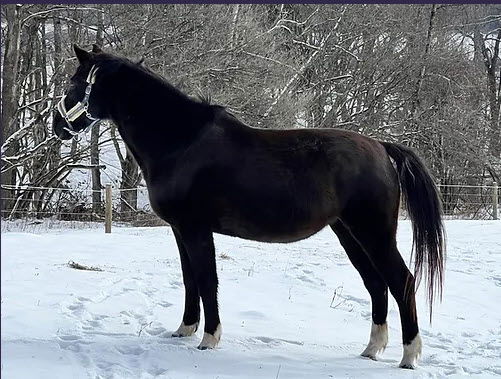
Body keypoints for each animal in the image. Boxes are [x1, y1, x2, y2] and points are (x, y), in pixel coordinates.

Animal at [52, 45, 444, 372]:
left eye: (75, 83)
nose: (58, 126)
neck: (181, 142)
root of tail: (381, 147)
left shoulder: (196, 229)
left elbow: (207, 280)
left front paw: (209, 339)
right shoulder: (180, 229)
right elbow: (190, 279)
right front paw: (184, 330)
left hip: (373, 234)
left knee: (402, 282)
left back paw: (409, 357)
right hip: (349, 233)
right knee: (376, 284)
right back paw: (371, 350)